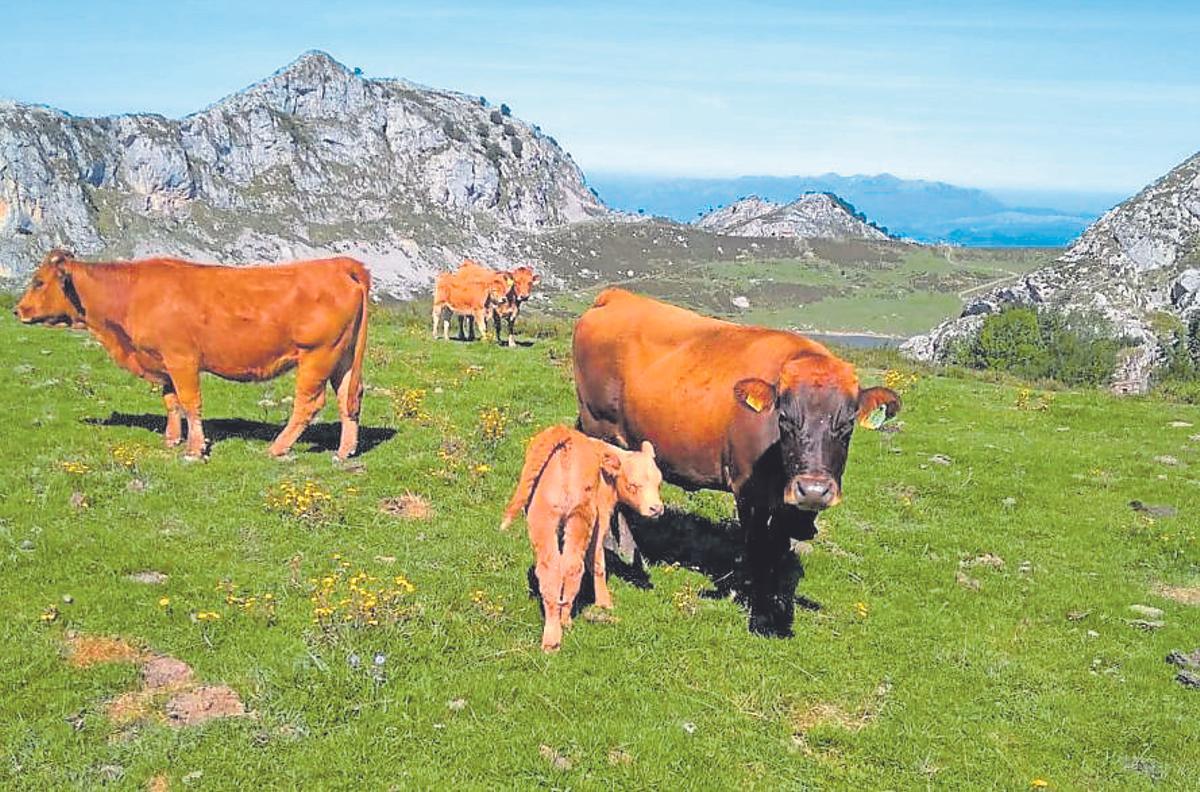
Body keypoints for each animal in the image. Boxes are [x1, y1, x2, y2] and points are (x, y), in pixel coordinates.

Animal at [14, 249, 371, 461]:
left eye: (38, 281)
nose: (17, 310)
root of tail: (340, 264)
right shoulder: (163, 361)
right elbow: (171, 401)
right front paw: (173, 439)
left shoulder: (181, 359)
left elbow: (189, 402)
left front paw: (195, 449)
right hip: (342, 358)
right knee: (348, 399)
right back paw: (344, 451)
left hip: (317, 356)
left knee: (309, 403)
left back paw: (278, 447)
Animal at [500, 425, 664, 651]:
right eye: (633, 485)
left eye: (659, 483)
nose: (656, 508)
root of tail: (566, 436)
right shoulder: (601, 518)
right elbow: (598, 562)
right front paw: (605, 603)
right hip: (581, 517)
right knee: (572, 566)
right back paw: (564, 623)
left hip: (544, 517)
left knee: (552, 569)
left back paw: (552, 635)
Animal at [572, 288, 900, 636]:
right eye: (784, 419)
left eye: (847, 425)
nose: (813, 490)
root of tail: (615, 296)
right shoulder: (748, 491)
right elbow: (756, 546)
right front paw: (757, 605)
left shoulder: (784, 504)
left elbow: (778, 548)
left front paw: (774, 600)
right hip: (600, 425)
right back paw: (625, 551)